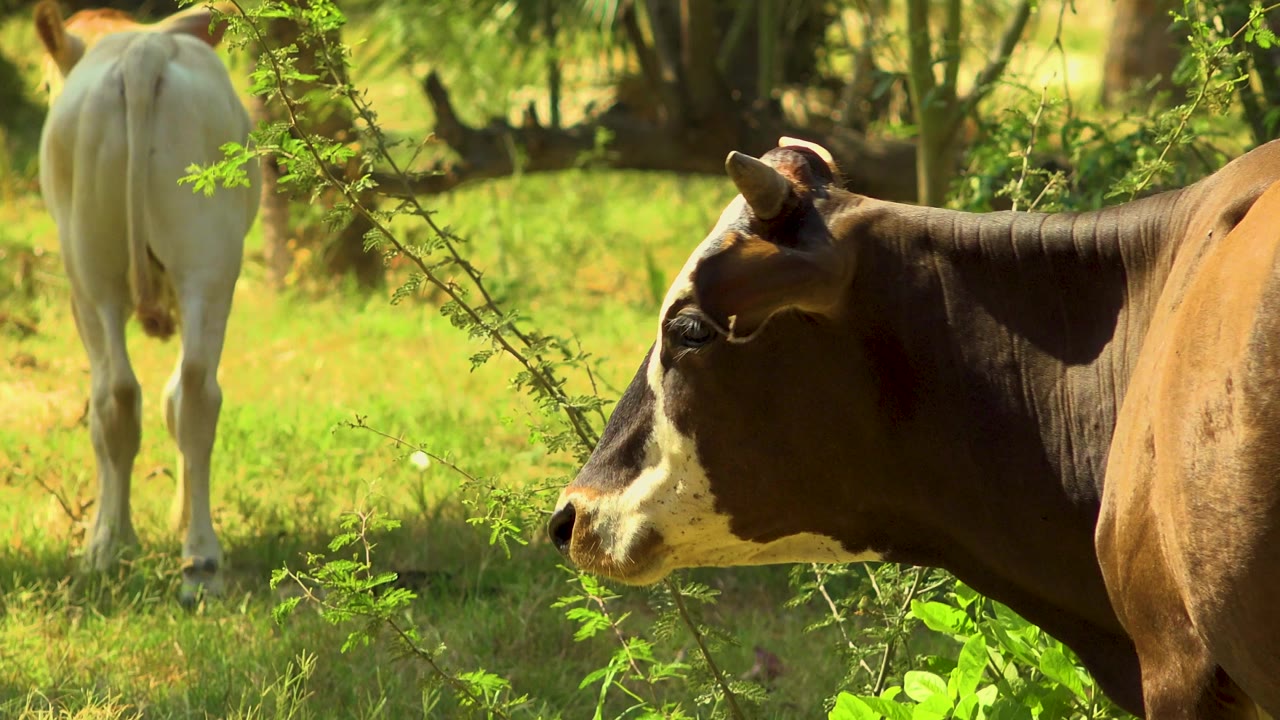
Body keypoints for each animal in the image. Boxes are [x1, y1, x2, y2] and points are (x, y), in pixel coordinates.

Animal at [35, 0, 260, 602]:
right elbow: (175, 398)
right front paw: (180, 517)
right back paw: (200, 560)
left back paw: (107, 546)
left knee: (114, 396)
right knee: (198, 392)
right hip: (209, 263)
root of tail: (143, 52)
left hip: (92, 275)